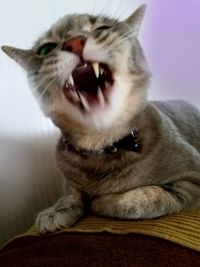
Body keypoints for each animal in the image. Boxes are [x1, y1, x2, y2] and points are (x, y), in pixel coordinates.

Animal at [1, 4, 200, 234]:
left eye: (103, 28)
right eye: (46, 49)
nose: (74, 42)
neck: (102, 145)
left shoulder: (192, 178)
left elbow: (147, 197)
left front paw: (102, 201)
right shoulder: (68, 176)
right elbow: (71, 194)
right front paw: (56, 210)